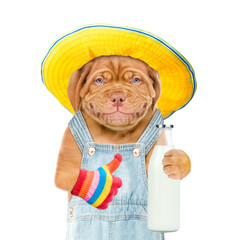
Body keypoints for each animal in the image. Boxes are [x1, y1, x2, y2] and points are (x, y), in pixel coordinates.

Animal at [55, 54, 192, 201]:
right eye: (99, 80)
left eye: (136, 80)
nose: (117, 97)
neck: (116, 134)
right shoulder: (66, 166)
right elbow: (72, 176)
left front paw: (176, 162)